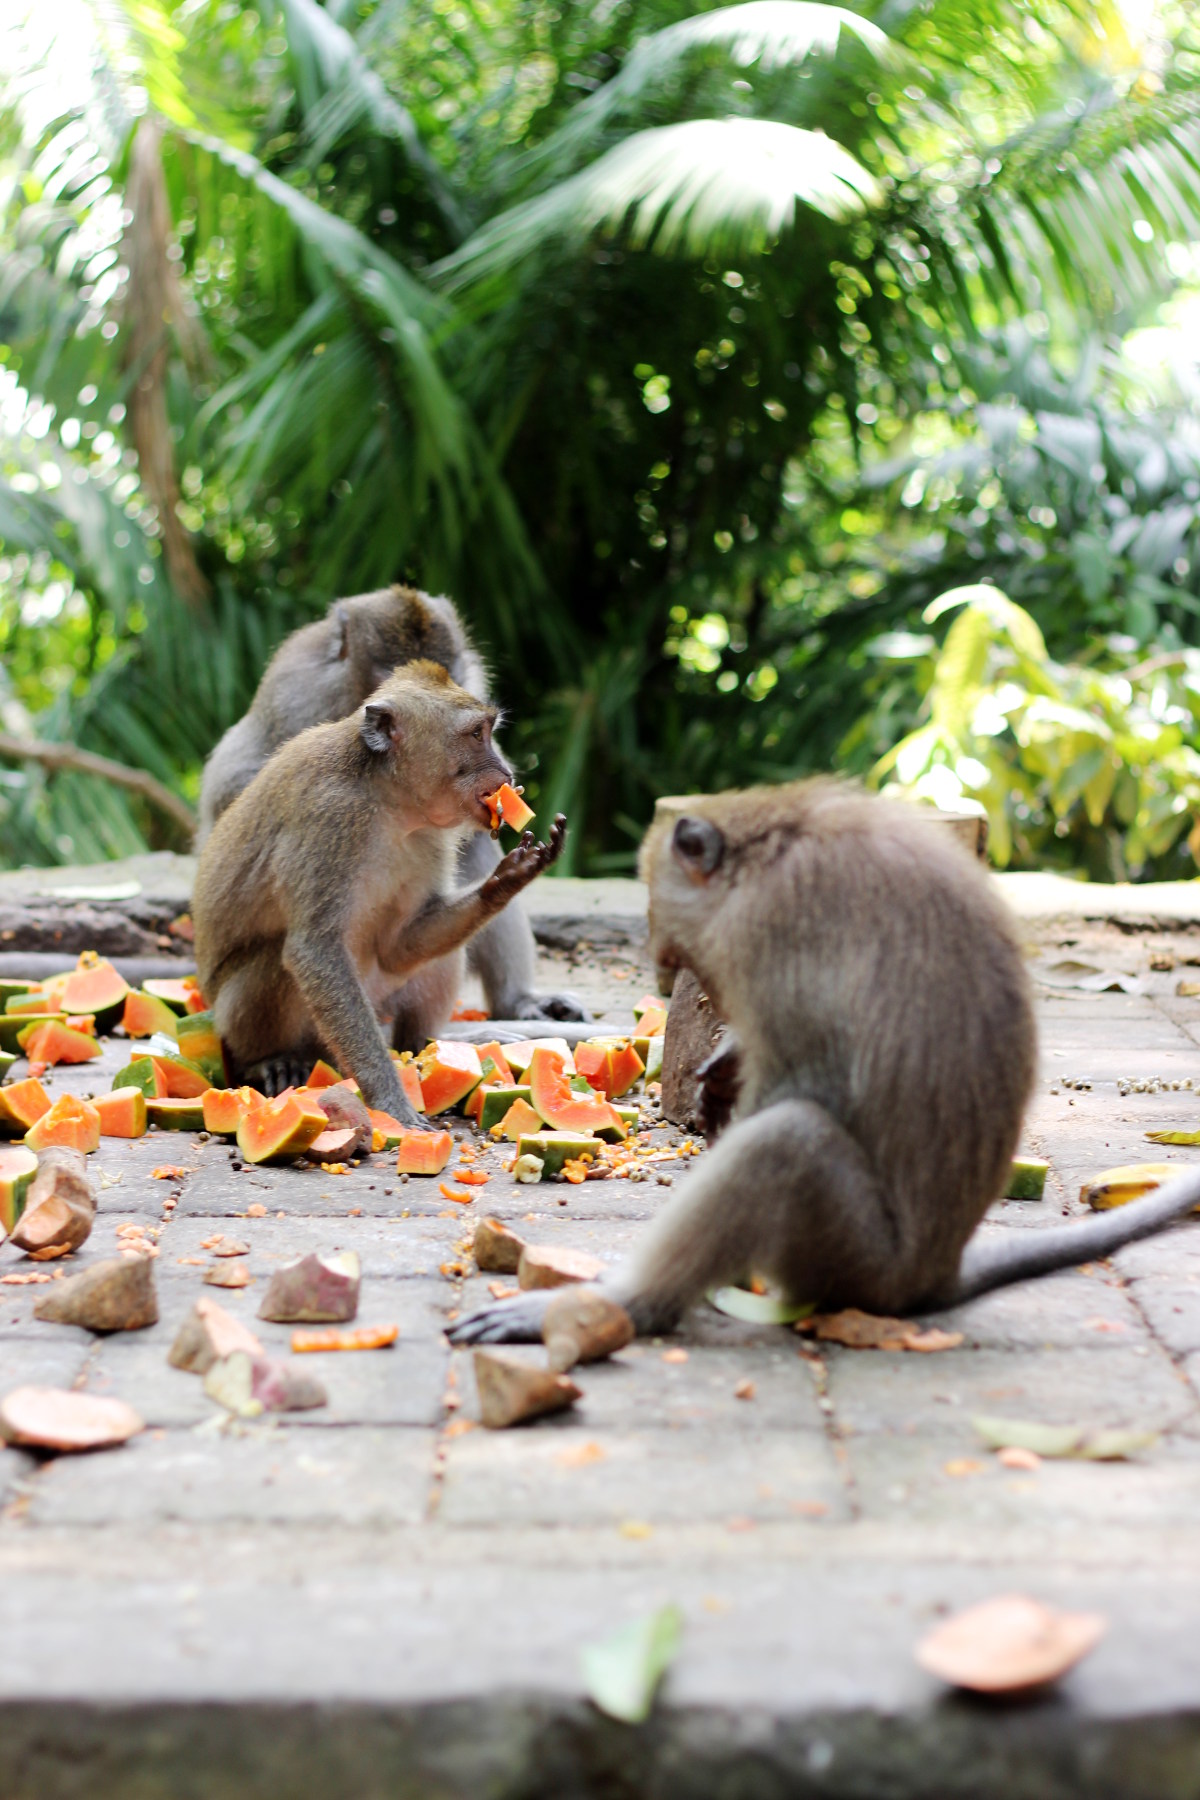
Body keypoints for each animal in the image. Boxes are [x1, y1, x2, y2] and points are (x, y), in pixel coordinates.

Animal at [195, 658, 572, 1108]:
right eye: (476, 734)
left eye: (487, 730)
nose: (507, 772)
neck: (389, 800)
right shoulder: (331, 818)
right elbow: (314, 950)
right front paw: (391, 1100)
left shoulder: (432, 840)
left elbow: (400, 945)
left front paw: (508, 879)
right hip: (258, 1022)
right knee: (274, 962)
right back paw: (271, 1060)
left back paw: (427, 1045)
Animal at [447, 781, 1200, 1346]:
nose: (662, 959)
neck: (772, 846)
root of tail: (933, 1274)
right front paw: (724, 1066)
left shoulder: (768, 928)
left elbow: (804, 1082)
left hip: (850, 1256)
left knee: (788, 1144)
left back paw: (633, 1304)